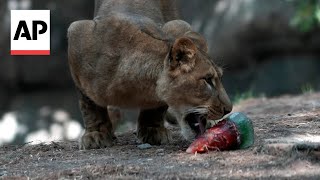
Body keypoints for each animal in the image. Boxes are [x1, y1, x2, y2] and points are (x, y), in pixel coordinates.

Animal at [67, 0, 232, 150]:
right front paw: (96, 134)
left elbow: (158, 105)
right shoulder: (77, 32)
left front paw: (153, 130)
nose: (228, 109)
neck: (134, 88)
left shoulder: (176, 26)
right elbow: (89, 105)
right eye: (207, 80)